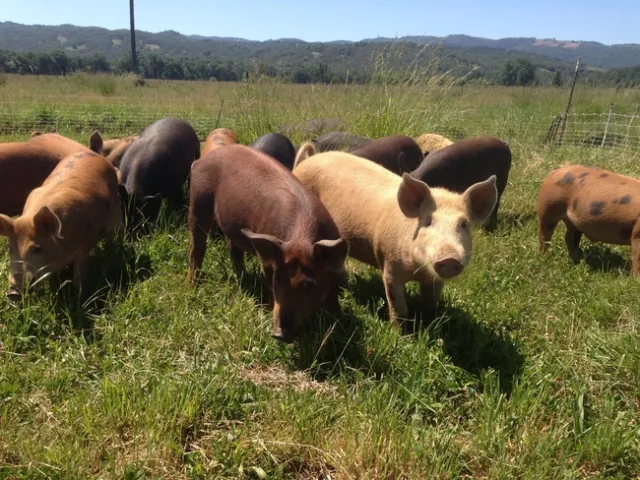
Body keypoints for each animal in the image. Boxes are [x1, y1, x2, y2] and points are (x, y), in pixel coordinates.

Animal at [0, 151, 124, 299]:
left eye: (37, 248)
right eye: (10, 249)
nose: (13, 292)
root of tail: (92, 153)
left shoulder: (83, 248)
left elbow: (79, 276)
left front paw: (78, 296)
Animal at [188, 144, 349, 342]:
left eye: (309, 283)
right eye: (278, 279)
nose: (278, 334)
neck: (301, 238)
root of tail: (201, 160)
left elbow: (333, 296)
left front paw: (340, 322)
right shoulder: (268, 262)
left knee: (232, 248)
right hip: (198, 201)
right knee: (197, 248)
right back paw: (192, 285)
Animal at [293, 142, 497, 325]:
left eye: (464, 224)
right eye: (427, 221)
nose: (450, 258)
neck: (418, 270)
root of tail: (306, 161)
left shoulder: (434, 279)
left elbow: (431, 303)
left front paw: (430, 322)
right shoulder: (389, 265)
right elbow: (399, 308)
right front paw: (402, 334)